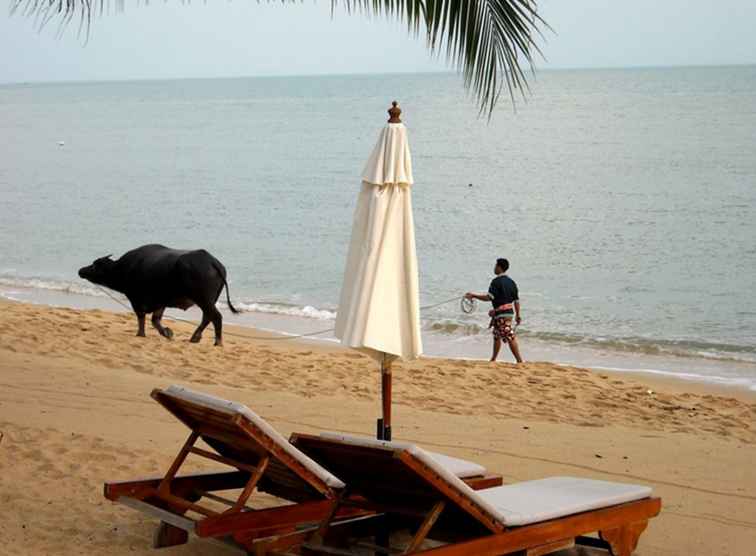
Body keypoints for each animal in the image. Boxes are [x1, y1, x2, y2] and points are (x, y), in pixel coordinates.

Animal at [78, 244, 238, 346]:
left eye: (95, 264)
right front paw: (167, 333)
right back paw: (195, 337)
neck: (125, 268)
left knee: (215, 316)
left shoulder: (135, 298)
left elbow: (141, 316)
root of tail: (212, 262)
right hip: (209, 300)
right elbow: (155, 320)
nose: (81, 270)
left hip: (203, 299)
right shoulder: (161, 301)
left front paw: (141, 334)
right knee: (207, 317)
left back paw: (217, 342)